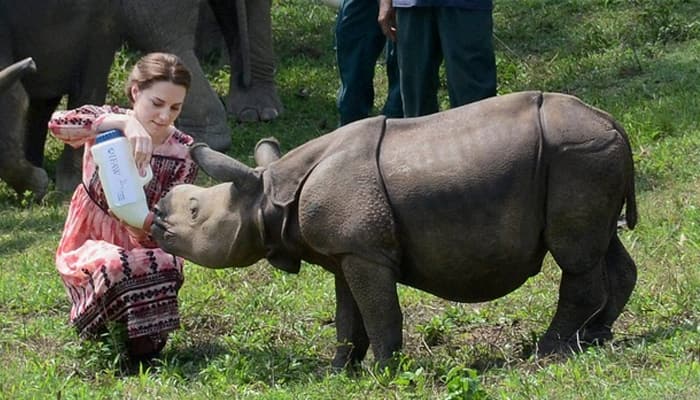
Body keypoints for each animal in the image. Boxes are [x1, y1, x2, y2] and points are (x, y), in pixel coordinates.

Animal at [0, 0, 230, 197]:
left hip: (102, 20)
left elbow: (14, 96)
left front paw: (39, 185)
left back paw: (67, 182)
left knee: (92, 74)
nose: (31, 64)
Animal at [152, 90, 640, 368]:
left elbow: (379, 311)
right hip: (588, 156)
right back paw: (596, 337)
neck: (270, 194)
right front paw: (338, 369)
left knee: (574, 254)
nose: (155, 215)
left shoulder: (364, 250)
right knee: (600, 245)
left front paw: (380, 370)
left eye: (194, 210)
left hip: (577, 155)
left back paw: (547, 352)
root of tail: (614, 122)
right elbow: (349, 316)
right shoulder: (345, 250)